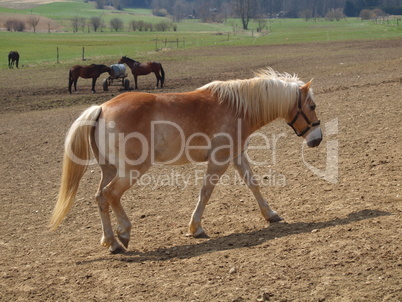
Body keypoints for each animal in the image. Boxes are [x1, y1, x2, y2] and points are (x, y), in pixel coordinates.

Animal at [50, 68, 322, 252]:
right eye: (312, 105)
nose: (317, 139)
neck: (237, 107)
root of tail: (101, 109)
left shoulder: (236, 156)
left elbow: (253, 184)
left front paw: (271, 214)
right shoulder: (220, 159)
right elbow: (206, 191)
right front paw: (196, 227)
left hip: (109, 168)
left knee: (100, 197)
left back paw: (111, 241)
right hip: (131, 170)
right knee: (111, 194)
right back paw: (123, 234)